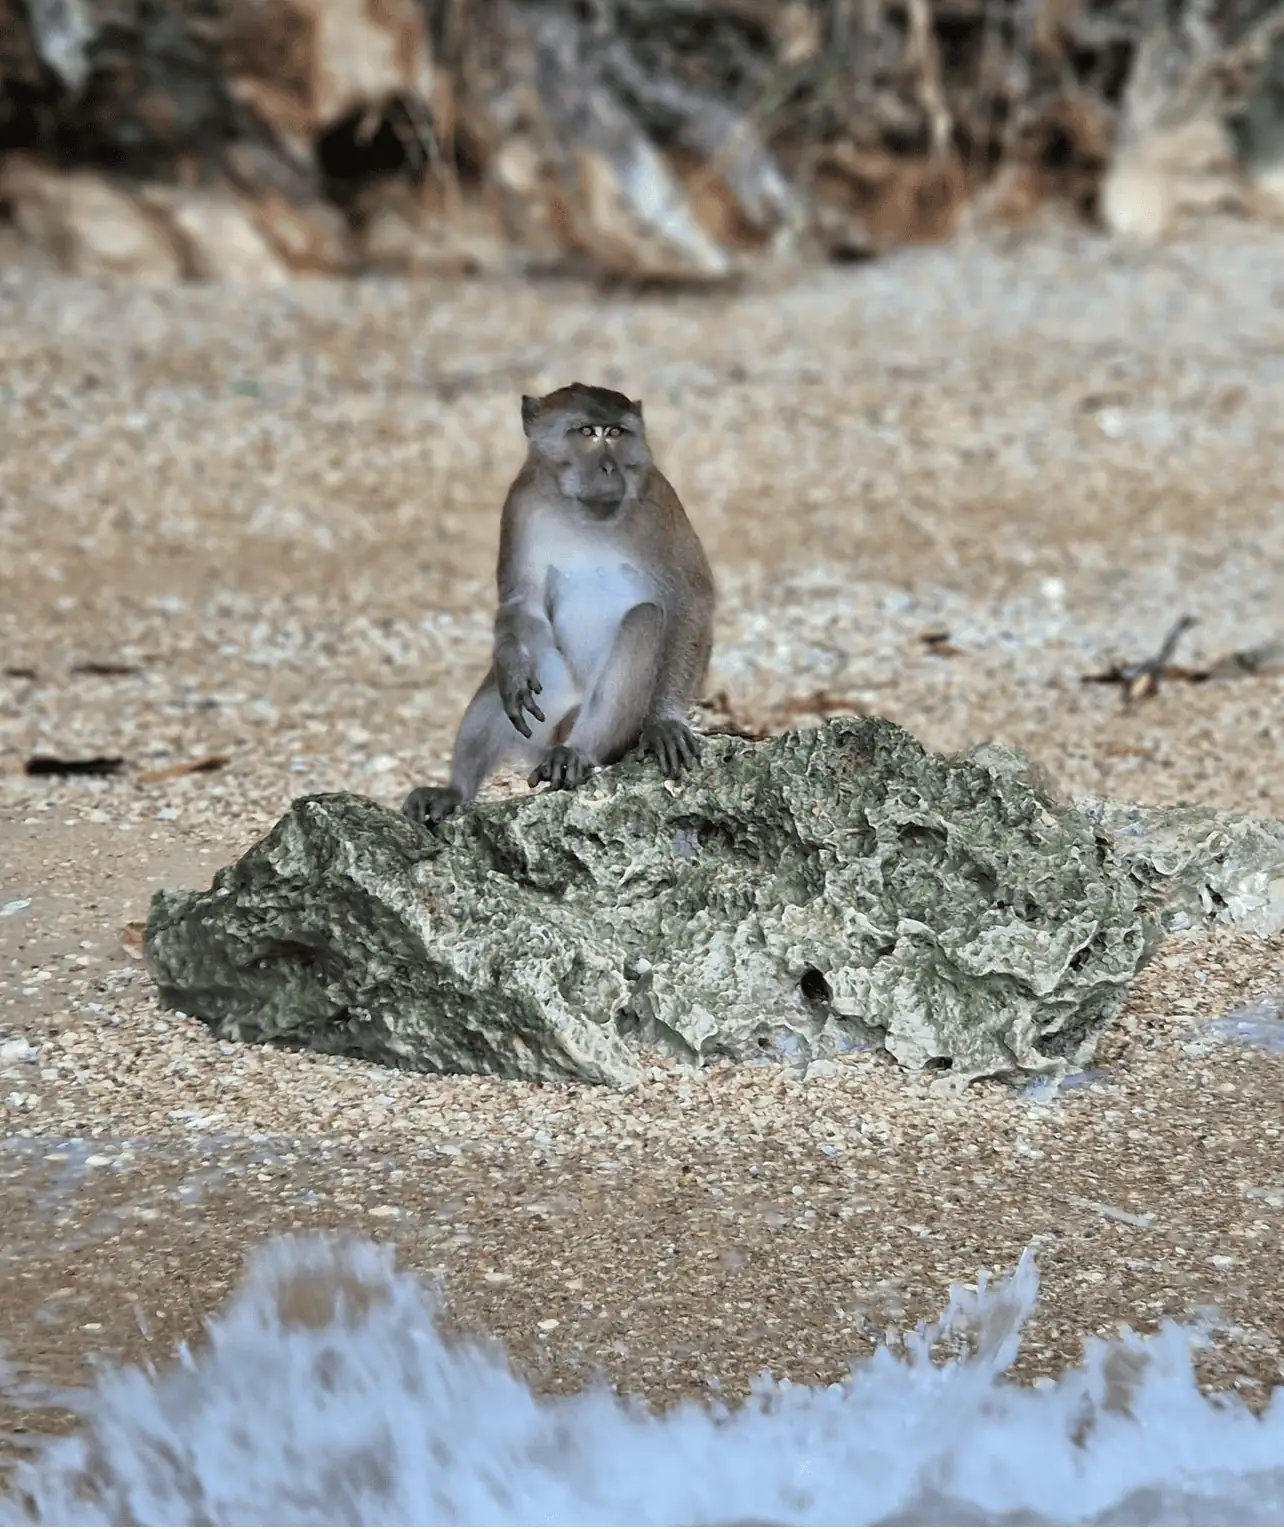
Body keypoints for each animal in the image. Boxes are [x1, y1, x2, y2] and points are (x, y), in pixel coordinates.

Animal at [402, 383, 715, 828]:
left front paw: (665, 721)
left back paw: (577, 752)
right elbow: (522, 603)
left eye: (616, 433)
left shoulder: (659, 505)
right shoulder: (520, 503)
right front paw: (512, 668)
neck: (583, 510)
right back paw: (455, 791)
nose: (610, 469)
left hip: (612, 728)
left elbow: (690, 600)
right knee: (522, 664)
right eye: (586, 432)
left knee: (644, 619)